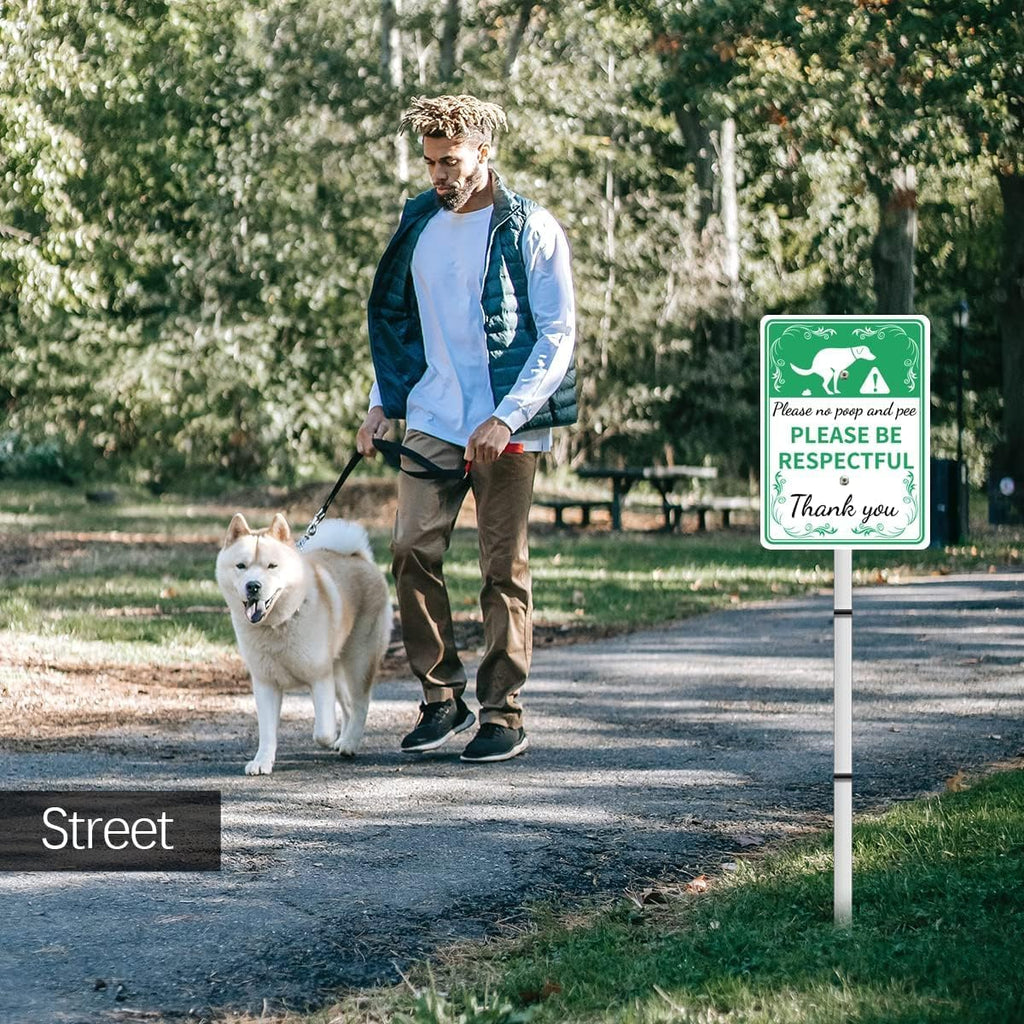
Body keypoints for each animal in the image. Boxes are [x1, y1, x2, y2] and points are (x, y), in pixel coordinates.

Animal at [216, 512, 391, 774]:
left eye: (272, 566)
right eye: (241, 566)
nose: (253, 585)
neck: (277, 625)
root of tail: (359, 557)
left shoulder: (319, 677)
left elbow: (323, 731)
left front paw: (329, 738)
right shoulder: (266, 684)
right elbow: (267, 732)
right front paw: (262, 761)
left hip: (358, 662)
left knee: (360, 704)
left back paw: (349, 743)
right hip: (338, 670)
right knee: (349, 706)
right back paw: (344, 738)